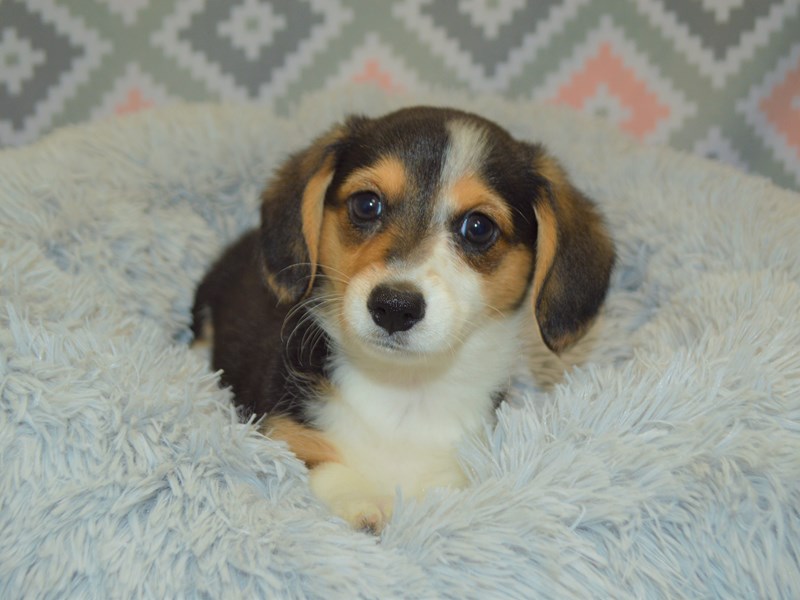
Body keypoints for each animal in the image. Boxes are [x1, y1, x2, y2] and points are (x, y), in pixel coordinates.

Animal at [191, 105, 616, 532]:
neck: (403, 390)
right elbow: (322, 462)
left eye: (479, 227)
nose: (394, 307)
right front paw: (362, 502)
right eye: (366, 204)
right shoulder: (278, 429)